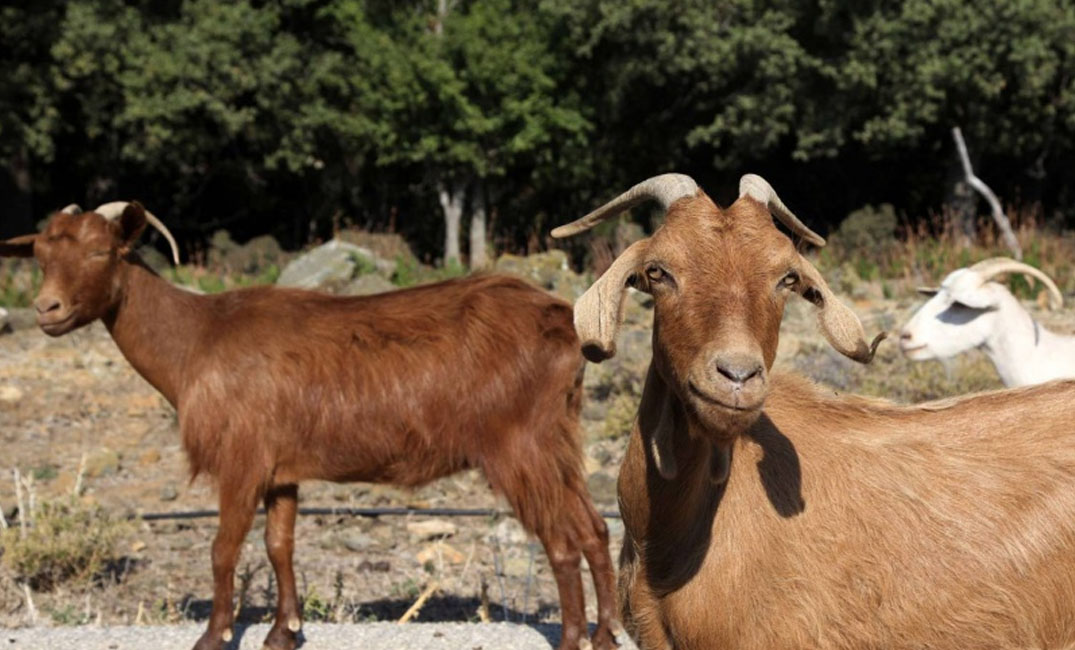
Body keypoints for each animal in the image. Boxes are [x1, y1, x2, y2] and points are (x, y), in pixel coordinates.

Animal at [0, 202, 617, 650]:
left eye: (102, 251)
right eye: (39, 255)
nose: (46, 310)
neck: (195, 340)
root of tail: (566, 322)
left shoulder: (242, 459)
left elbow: (223, 547)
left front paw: (212, 636)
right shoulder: (281, 470)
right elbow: (279, 545)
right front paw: (283, 632)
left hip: (519, 446)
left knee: (561, 542)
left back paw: (572, 640)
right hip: (557, 439)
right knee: (594, 529)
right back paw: (607, 634)